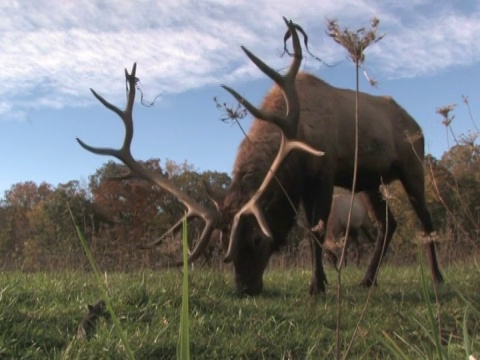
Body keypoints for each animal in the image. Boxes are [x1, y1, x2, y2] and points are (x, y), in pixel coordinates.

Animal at [78, 17, 442, 296]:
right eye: (221, 241)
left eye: (255, 238)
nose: (243, 289)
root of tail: (416, 123)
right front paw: (322, 282)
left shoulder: (325, 171)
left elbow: (315, 230)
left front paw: (317, 286)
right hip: (370, 180)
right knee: (389, 224)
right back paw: (368, 279)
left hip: (412, 165)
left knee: (425, 219)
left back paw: (437, 277)